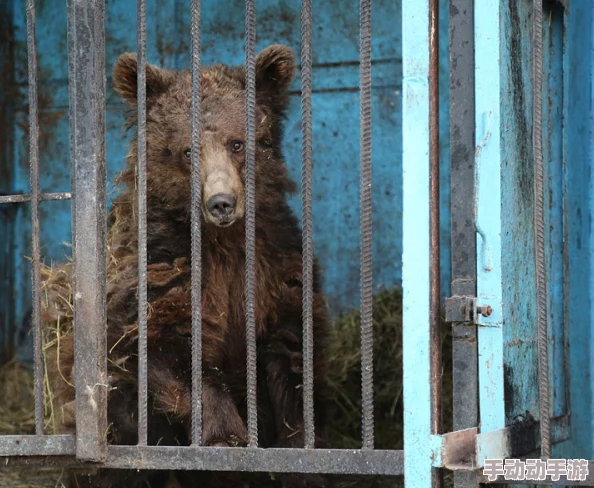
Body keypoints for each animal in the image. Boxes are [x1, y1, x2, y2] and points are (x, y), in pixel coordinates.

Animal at [42, 43, 332, 486]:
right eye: (188, 150)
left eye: (237, 143)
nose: (221, 203)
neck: (222, 241)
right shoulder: (163, 264)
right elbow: (165, 344)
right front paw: (227, 436)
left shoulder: (276, 266)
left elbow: (291, 356)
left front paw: (302, 451)